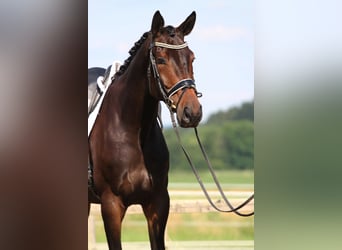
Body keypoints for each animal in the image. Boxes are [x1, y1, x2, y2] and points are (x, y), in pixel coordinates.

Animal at [88, 10, 202, 249]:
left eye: (192, 58)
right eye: (160, 59)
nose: (192, 112)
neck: (132, 131)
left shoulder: (158, 203)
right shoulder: (111, 205)